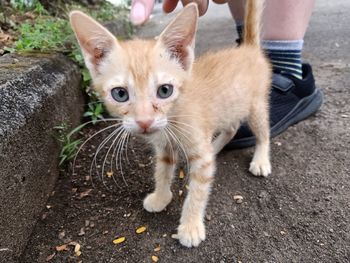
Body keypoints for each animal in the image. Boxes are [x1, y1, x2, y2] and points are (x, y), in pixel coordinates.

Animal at [70, 0, 270, 248]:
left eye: (165, 90)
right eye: (120, 94)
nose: (144, 121)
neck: (174, 117)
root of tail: (248, 49)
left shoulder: (200, 157)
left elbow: (197, 192)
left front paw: (190, 227)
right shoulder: (164, 146)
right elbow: (162, 171)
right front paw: (161, 197)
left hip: (255, 105)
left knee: (263, 132)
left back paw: (261, 160)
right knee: (232, 128)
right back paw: (215, 146)